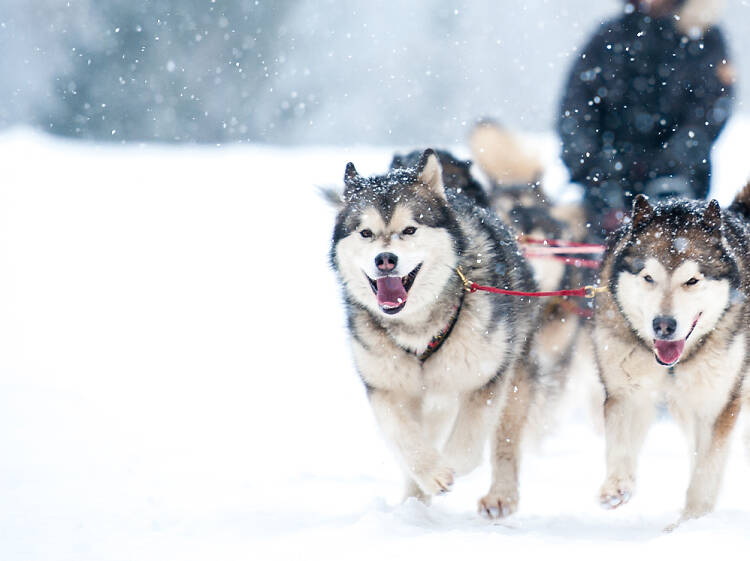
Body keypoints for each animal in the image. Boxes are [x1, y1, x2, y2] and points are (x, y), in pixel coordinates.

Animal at [328, 149, 540, 516]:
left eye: (410, 229)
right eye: (365, 233)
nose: (385, 259)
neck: (417, 326)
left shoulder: (486, 379)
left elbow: (468, 446)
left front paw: (449, 465)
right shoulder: (385, 387)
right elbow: (405, 438)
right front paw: (430, 474)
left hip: (513, 377)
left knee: (505, 440)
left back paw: (500, 495)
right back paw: (414, 503)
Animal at [596, 189, 748, 524]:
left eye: (692, 280)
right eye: (648, 277)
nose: (663, 325)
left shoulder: (716, 404)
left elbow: (706, 472)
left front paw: (691, 522)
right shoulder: (627, 390)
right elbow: (620, 443)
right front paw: (617, 485)